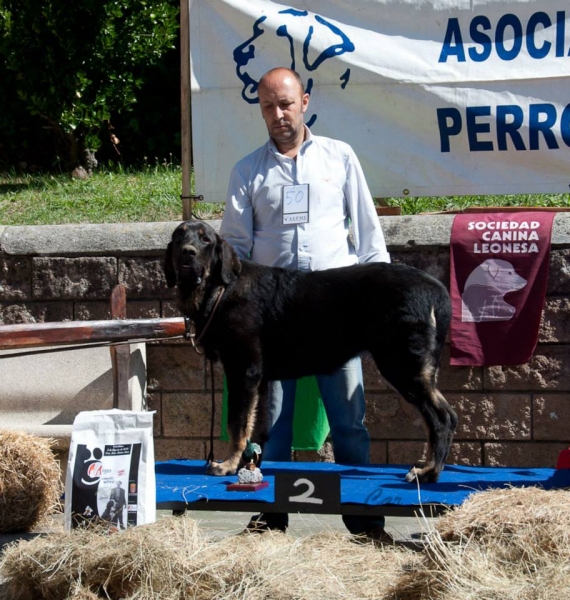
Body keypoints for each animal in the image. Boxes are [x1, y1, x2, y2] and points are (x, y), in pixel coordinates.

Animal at [164, 220, 458, 482]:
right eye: (179, 236)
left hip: (403, 365)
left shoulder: (243, 371)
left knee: (441, 418)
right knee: (445, 417)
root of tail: (437, 289)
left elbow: (236, 424)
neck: (220, 290)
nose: (187, 252)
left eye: (205, 239)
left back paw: (429, 472)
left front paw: (228, 465)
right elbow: (254, 426)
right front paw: (248, 463)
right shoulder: (257, 380)